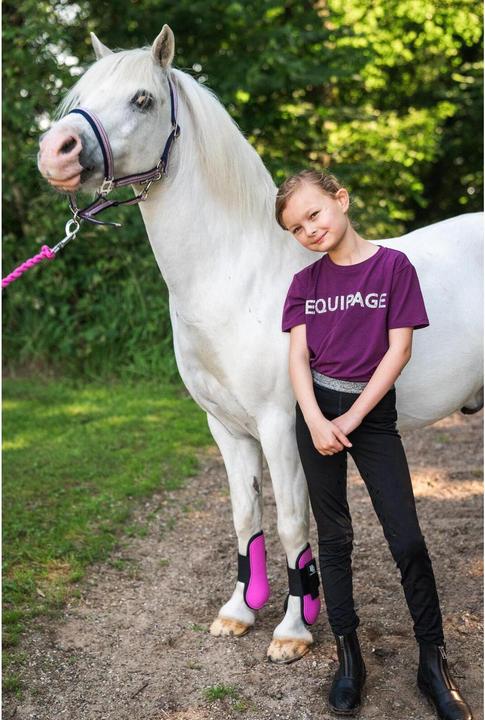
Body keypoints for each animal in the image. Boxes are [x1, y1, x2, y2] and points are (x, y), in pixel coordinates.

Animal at [37, 25, 483, 663]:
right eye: (82, 92)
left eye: (142, 99)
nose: (57, 150)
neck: (237, 276)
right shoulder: (226, 428)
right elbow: (245, 517)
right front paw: (239, 612)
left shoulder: (282, 427)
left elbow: (294, 523)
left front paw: (293, 630)